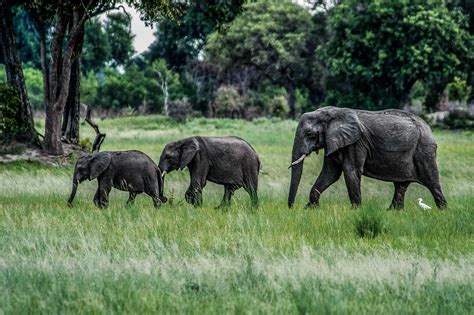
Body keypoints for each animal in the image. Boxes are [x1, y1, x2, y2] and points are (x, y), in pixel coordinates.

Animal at [286, 107, 446, 211]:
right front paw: (310, 209)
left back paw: (442, 211)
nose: (292, 208)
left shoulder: (356, 143)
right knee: (401, 185)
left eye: (310, 135)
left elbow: (350, 171)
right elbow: (330, 173)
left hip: (423, 150)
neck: (331, 113)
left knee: (432, 182)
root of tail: (429, 129)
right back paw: (393, 211)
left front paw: (356, 210)